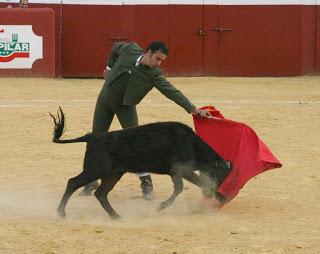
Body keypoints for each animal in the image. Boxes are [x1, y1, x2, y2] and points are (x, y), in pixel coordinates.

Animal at [50, 106, 231, 219]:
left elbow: (189, 185)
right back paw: (60, 213)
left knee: (100, 193)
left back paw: (116, 217)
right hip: (95, 170)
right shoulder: (180, 170)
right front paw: (161, 206)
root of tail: (92, 137)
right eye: (221, 175)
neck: (190, 143)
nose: (224, 190)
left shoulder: (180, 171)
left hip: (113, 174)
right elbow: (185, 186)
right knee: (73, 182)